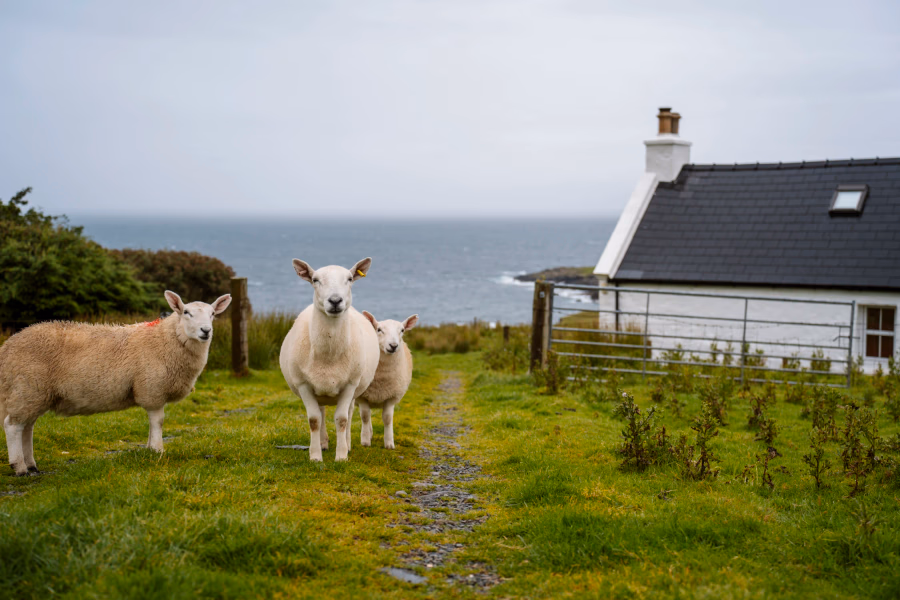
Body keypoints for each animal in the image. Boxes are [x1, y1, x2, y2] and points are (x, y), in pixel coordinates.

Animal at [0, 291, 231, 476]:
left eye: (212, 314)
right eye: (186, 312)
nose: (206, 331)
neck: (167, 338)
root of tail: (8, 346)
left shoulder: (151, 391)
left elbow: (152, 424)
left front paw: (149, 449)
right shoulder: (152, 389)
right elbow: (158, 421)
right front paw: (157, 451)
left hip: (34, 393)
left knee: (27, 427)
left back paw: (31, 465)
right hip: (27, 386)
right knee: (12, 426)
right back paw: (19, 467)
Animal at [279, 257, 379, 462]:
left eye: (350, 279)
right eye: (315, 280)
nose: (335, 301)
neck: (329, 354)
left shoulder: (349, 385)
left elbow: (342, 419)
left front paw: (341, 456)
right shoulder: (303, 385)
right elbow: (314, 420)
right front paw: (315, 456)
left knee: (348, 413)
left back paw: (347, 445)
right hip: (319, 389)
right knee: (322, 412)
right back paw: (323, 443)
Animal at [357, 311, 417, 449]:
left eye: (402, 330)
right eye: (379, 329)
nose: (393, 346)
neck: (381, 380)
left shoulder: (391, 396)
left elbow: (387, 418)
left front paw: (389, 443)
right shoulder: (362, 396)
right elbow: (365, 416)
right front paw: (365, 440)